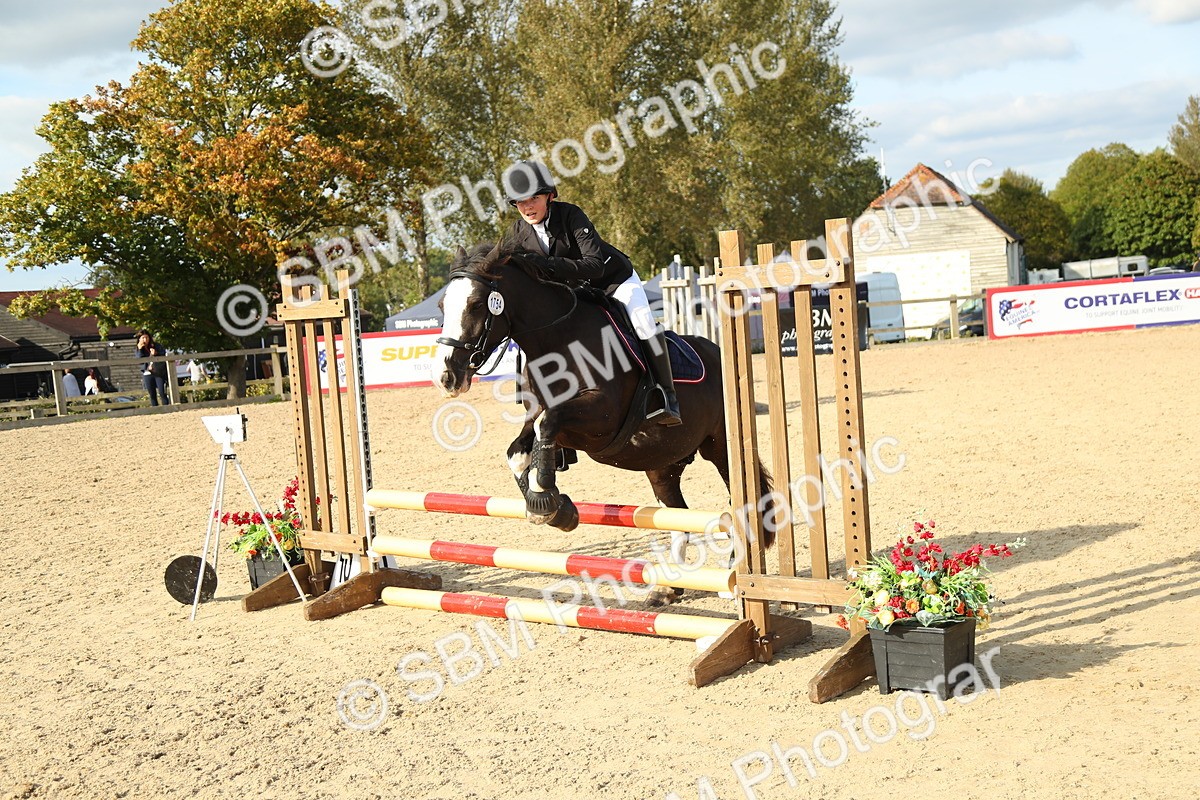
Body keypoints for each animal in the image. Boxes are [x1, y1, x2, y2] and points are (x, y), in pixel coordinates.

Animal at [435, 241, 776, 604]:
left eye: (474, 304)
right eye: (442, 305)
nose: (446, 377)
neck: (557, 342)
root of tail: (719, 353)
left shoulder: (600, 418)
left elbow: (547, 425)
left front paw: (544, 499)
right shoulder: (540, 418)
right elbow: (519, 451)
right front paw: (556, 510)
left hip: (721, 447)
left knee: (742, 502)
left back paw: (734, 577)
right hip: (662, 462)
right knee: (677, 514)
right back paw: (668, 588)